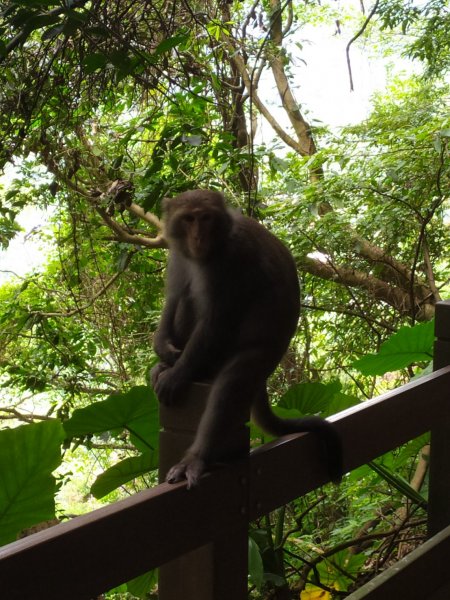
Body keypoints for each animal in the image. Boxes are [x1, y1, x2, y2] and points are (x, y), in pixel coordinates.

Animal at [153, 191, 342, 488]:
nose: (199, 238)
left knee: (231, 385)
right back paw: (168, 365)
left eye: (206, 218)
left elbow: (216, 323)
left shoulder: (229, 262)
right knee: (187, 296)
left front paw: (178, 374)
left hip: (253, 357)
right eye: (189, 219)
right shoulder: (179, 256)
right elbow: (174, 297)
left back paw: (197, 455)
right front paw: (163, 348)